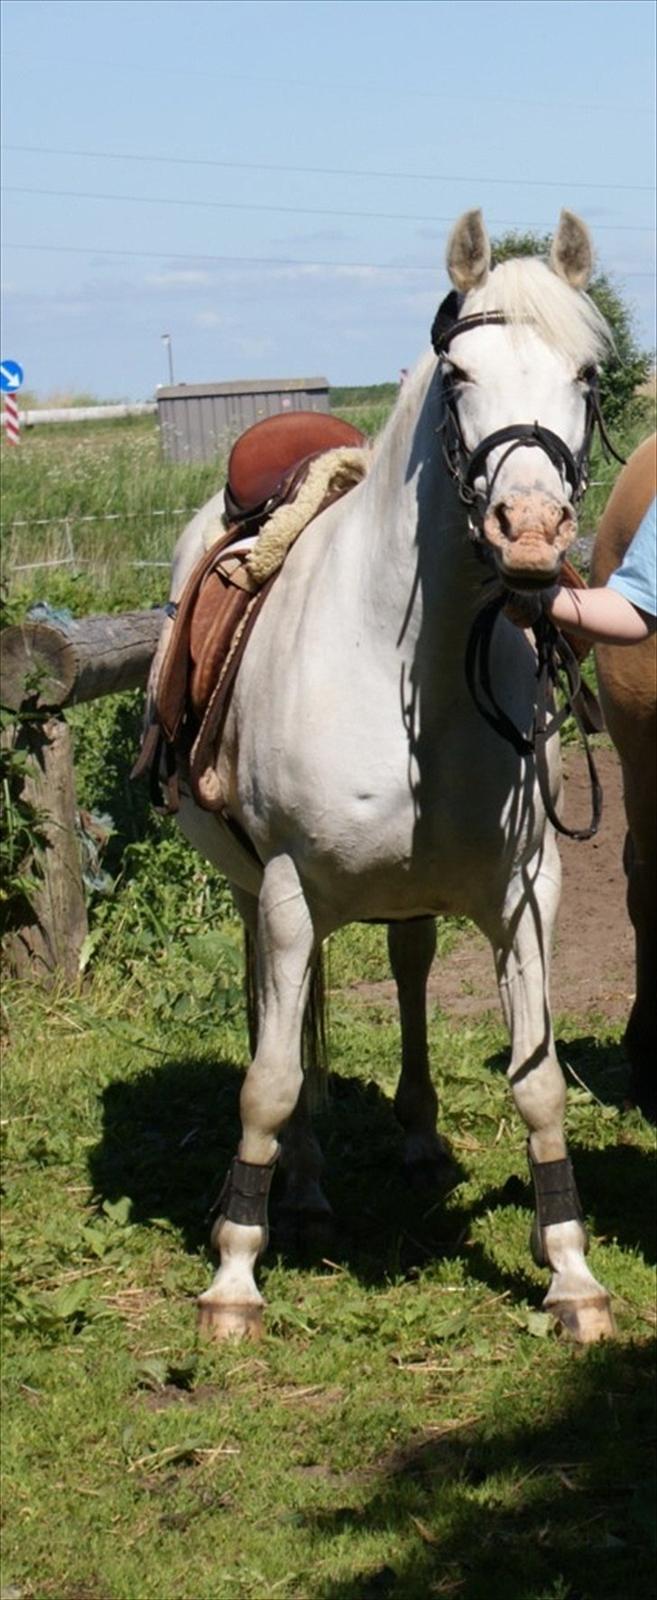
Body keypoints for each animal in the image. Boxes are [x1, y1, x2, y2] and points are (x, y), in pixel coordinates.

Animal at [148, 207, 618, 1345]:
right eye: (459, 375)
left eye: (586, 374)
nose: (529, 535)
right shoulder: (284, 890)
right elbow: (270, 1081)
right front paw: (234, 1273)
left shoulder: (526, 891)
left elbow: (539, 1083)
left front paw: (570, 1270)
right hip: (255, 893)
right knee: (283, 1018)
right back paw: (304, 1185)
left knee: (405, 968)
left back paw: (415, 1137)